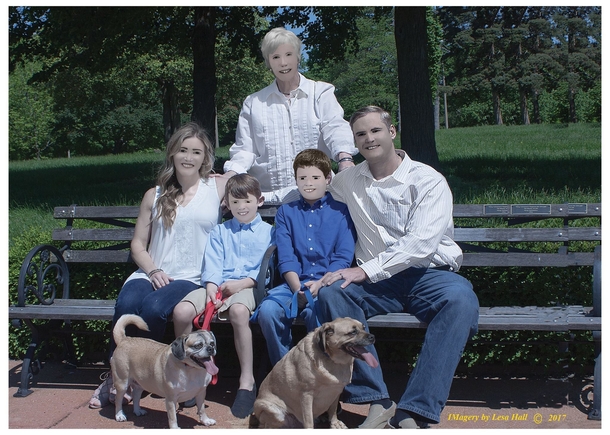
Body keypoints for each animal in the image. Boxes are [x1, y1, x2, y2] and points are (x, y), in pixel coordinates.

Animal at [248, 316, 376, 430]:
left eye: (363, 327)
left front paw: (334, 423)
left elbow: (333, 410)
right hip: (274, 412)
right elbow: (309, 421)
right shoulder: (306, 396)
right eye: (353, 332)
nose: (372, 336)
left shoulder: (336, 391)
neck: (331, 359)